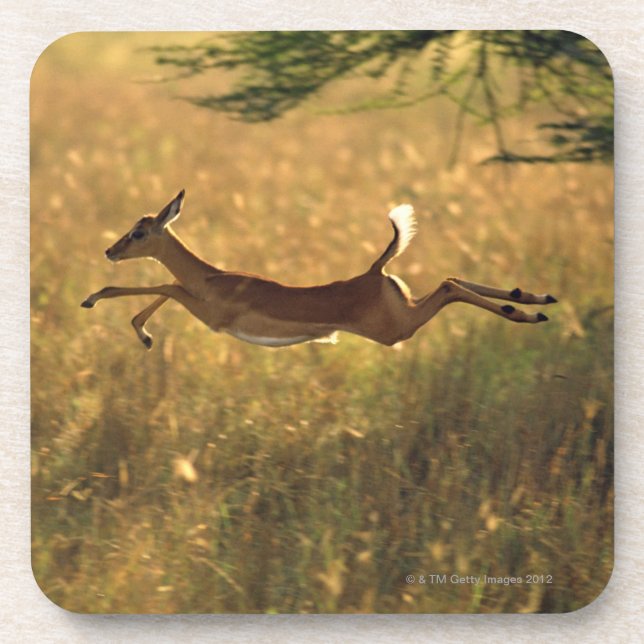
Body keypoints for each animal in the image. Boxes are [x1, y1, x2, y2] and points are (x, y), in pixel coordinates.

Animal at [81, 190, 557, 349]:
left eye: (139, 232)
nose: (109, 250)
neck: (213, 277)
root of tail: (374, 272)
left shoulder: (209, 313)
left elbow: (166, 283)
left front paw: (94, 299)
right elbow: (166, 285)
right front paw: (144, 335)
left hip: (397, 329)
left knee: (449, 286)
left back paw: (528, 312)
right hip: (405, 313)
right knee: (452, 279)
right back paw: (537, 299)